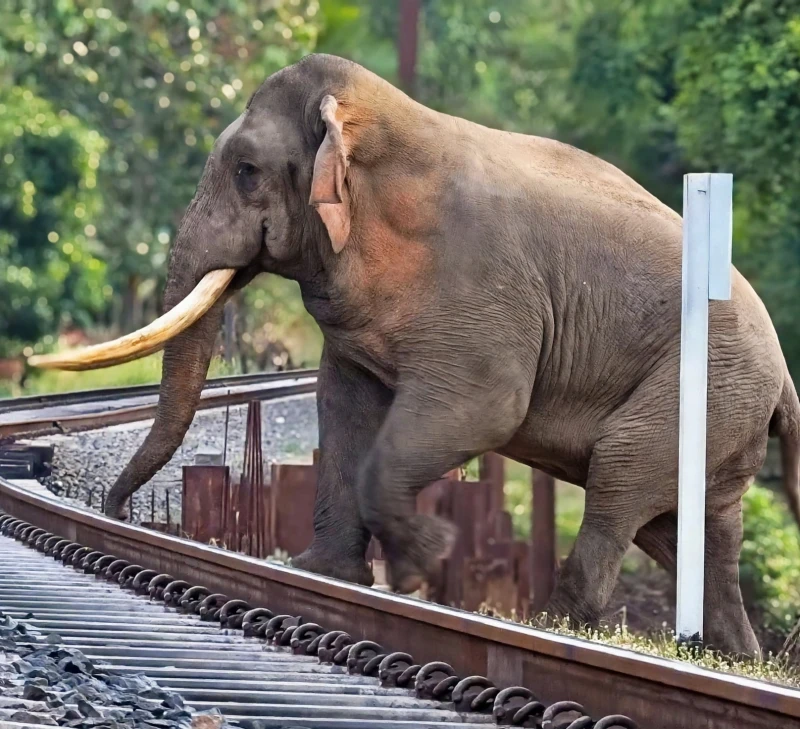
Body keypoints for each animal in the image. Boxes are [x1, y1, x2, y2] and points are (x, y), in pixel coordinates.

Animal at [30, 53, 800, 658]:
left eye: (247, 171)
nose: (117, 514)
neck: (379, 121)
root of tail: (784, 376)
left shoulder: (483, 290)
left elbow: (483, 409)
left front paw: (425, 564)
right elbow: (344, 406)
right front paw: (322, 574)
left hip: (707, 384)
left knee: (623, 474)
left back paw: (553, 626)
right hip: (727, 406)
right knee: (687, 524)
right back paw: (734, 654)